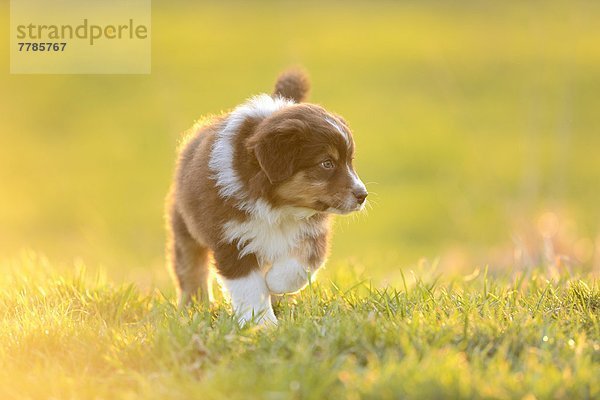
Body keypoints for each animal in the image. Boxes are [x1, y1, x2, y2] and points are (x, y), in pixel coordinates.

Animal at [166, 69, 368, 324]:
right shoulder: (232, 238)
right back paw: (193, 306)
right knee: (191, 268)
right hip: (185, 228)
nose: (363, 195)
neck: (279, 207)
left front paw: (275, 285)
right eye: (327, 163)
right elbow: (250, 288)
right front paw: (262, 325)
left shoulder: (313, 232)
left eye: (350, 161)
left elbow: (300, 265)